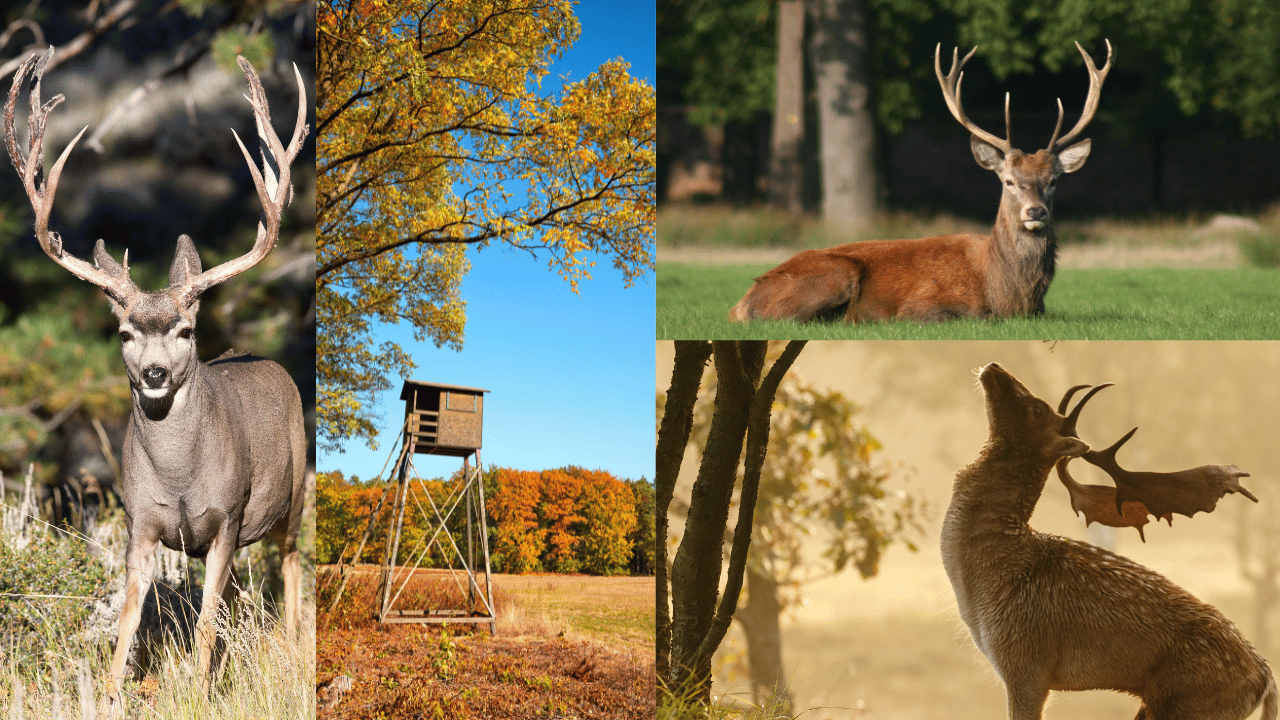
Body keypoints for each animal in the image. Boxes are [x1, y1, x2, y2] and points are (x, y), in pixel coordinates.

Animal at [4, 48, 309, 717]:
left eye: (187, 330)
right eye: (123, 333)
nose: (154, 373)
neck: (180, 476)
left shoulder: (227, 517)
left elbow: (205, 621)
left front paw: (197, 691)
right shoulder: (140, 522)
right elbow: (129, 614)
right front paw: (111, 692)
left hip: (294, 494)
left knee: (292, 565)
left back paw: (295, 642)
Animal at [729, 41, 1111, 323]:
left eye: (1054, 180)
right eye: (1008, 181)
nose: (1036, 212)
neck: (1008, 295)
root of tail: (740, 304)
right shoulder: (923, 305)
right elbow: (972, 316)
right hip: (835, 273)